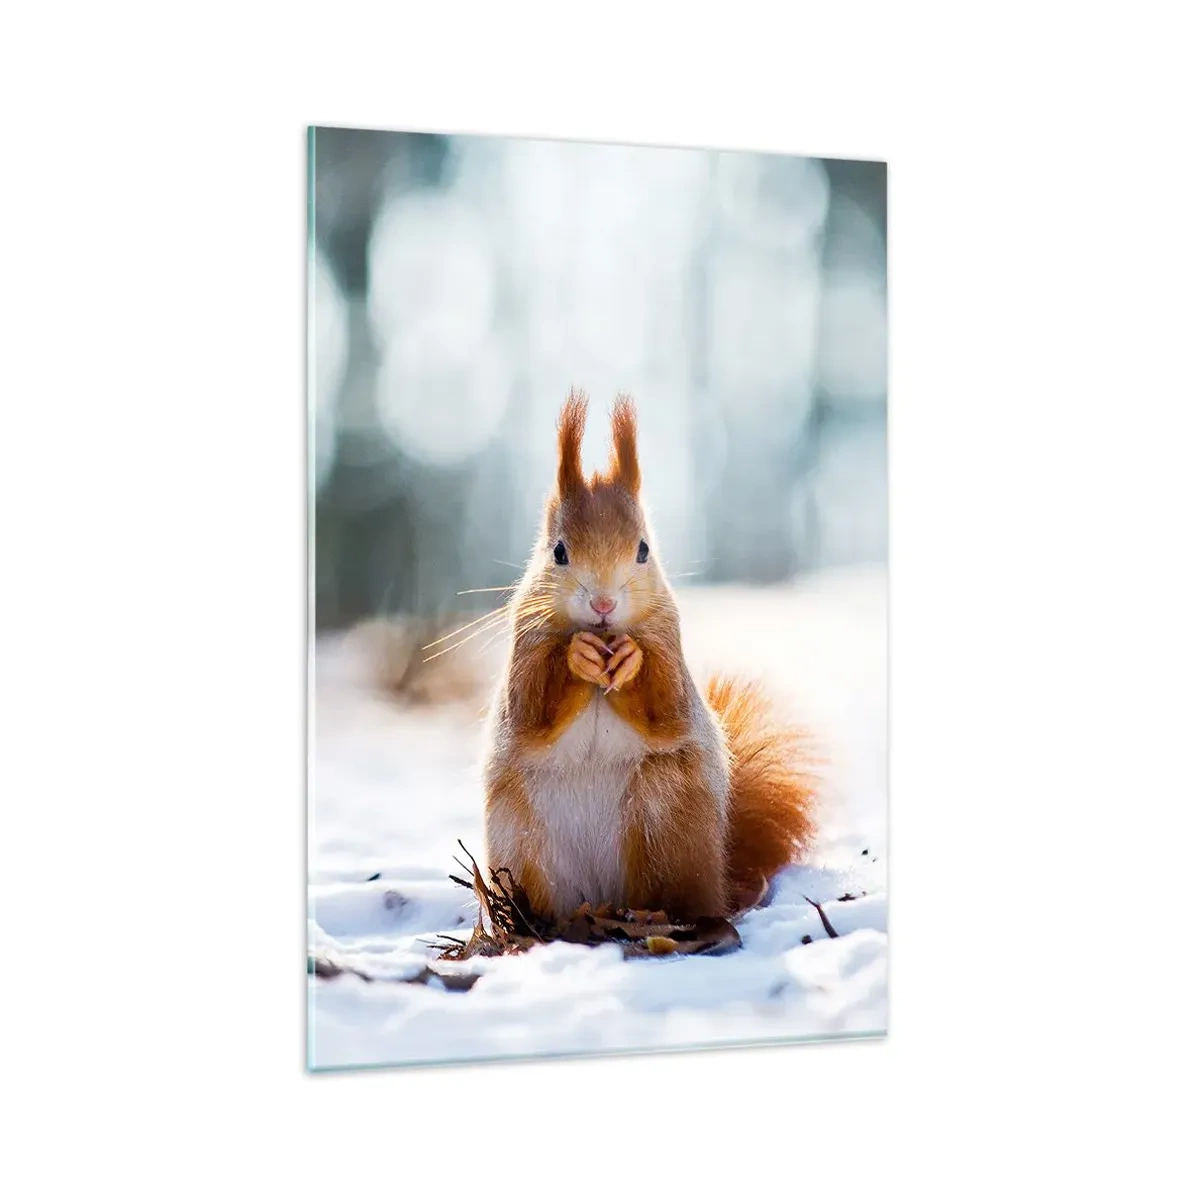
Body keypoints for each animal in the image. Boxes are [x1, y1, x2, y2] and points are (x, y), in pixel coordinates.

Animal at [483, 390, 817, 921]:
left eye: (643, 550)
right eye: (558, 552)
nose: (603, 605)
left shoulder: (668, 641)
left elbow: (667, 707)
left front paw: (630, 661)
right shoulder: (526, 644)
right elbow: (531, 710)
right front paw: (577, 655)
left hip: (664, 815)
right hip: (520, 835)